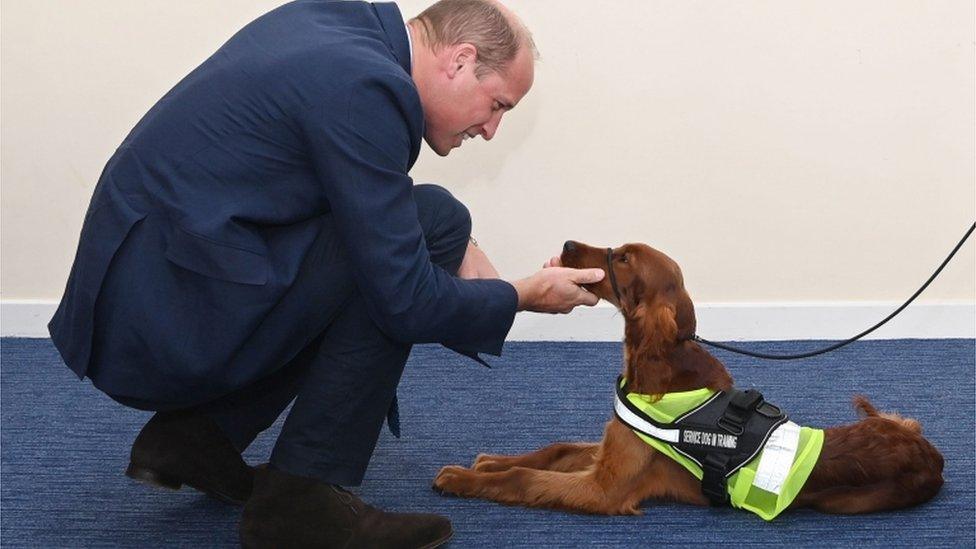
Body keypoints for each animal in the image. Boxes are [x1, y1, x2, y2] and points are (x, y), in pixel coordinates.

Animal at [430, 240, 940, 512]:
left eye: (624, 259)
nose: (569, 245)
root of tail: (930, 453)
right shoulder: (612, 448)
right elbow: (553, 451)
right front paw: (490, 461)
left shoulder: (605, 488)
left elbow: (524, 478)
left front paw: (461, 477)